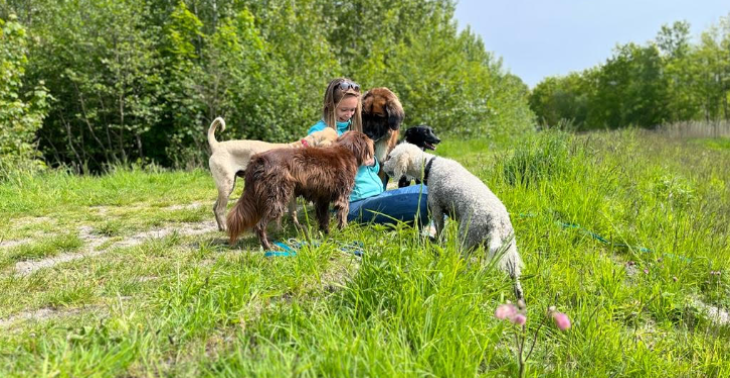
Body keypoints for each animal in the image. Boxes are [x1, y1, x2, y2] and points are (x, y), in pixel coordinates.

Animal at [208, 116, 338, 232]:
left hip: (226, 186)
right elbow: (288, 212)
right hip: (227, 184)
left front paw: (295, 226)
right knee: (219, 209)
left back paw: (220, 227)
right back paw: (225, 228)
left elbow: (292, 211)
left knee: (215, 207)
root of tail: (217, 146)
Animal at [226, 131, 376, 250]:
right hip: (277, 199)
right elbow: (342, 218)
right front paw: (342, 233)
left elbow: (324, 220)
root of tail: (258, 159)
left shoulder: (322, 200)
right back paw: (269, 247)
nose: (374, 141)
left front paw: (326, 236)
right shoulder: (342, 198)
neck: (346, 149)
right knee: (259, 226)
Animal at [382, 142, 524, 298]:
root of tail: (495, 223)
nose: (382, 166)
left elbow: (439, 230)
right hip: (508, 249)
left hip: (467, 238)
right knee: (515, 276)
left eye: (389, 157)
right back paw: (519, 296)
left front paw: (438, 245)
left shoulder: (436, 207)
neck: (429, 165)